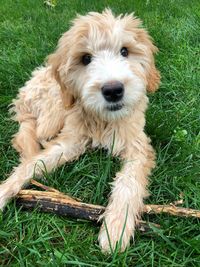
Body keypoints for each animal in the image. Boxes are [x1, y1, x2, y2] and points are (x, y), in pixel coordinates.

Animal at [0, 9, 160, 253]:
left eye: (125, 51)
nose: (113, 90)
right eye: (85, 58)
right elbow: (33, 164)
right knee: (31, 134)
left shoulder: (137, 146)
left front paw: (116, 227)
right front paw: (5, 190)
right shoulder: (70, 140)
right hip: (55, 106)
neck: (102, 120)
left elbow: (128, 183)